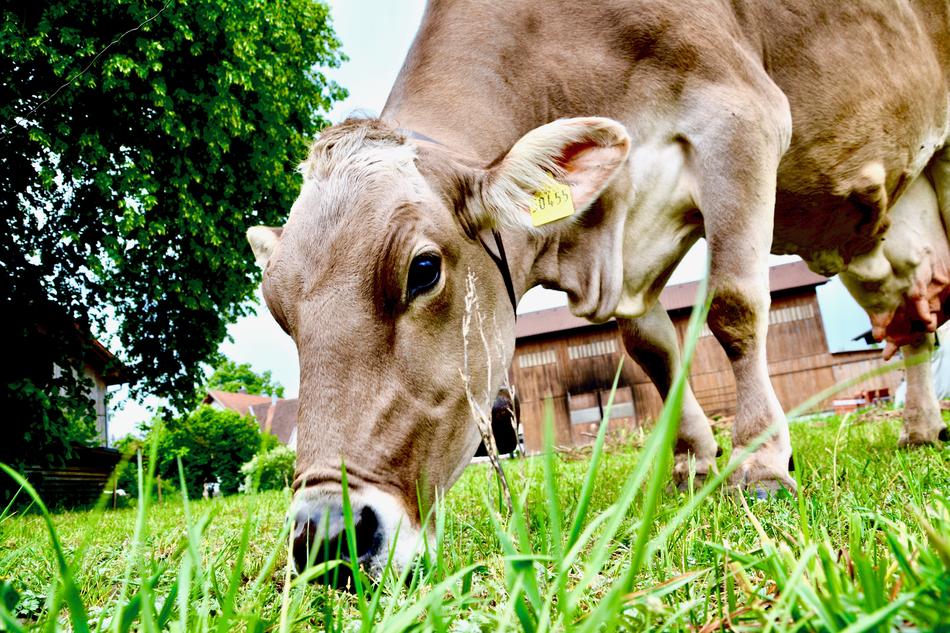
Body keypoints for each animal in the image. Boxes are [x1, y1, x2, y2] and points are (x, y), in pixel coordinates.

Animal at [246, 0, 950, 583]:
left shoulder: (741, 121)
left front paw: (760, 464)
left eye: (423, 269)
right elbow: (651, 349)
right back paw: (919, 429)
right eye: (277, 309)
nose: (322, 539)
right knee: (911, 321)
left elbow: (732, 306)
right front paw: (693, 464)